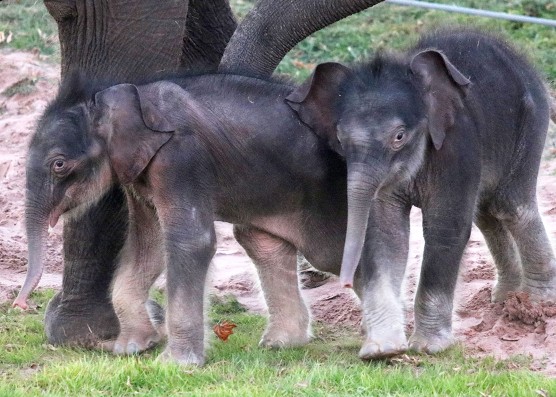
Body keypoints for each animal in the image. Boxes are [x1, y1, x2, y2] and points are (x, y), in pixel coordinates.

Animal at [286, 28, 556, 358]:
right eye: (340, 138)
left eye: (399, 136)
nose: (345, 283)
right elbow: (386, 233)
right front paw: (382, 349)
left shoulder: (456, 145)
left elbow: (445, 228)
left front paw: (428, 348)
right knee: (486, 212)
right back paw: (505, 298)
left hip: (529, 124)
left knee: (511, 206)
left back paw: (537, 304)